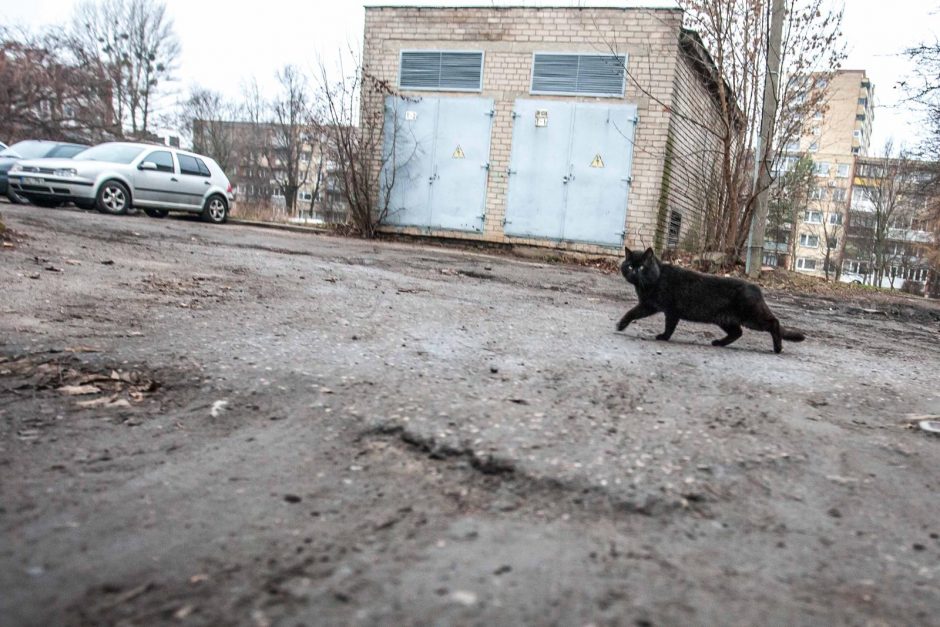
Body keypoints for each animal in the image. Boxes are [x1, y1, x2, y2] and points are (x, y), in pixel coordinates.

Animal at [620, 248, 804, 354]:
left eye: (642, 267)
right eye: (629, 266)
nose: (634, 272)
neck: (655, 279)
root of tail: (756, 288)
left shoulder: (666, 310)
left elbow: (667, 326)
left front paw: (663, 337)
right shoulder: (648, 306)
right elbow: (633, 312)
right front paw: (621, 325)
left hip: (752, 317)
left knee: (774, 322)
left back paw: (778, 348)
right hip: (726, 320)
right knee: (738, 333)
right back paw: (719, 343)